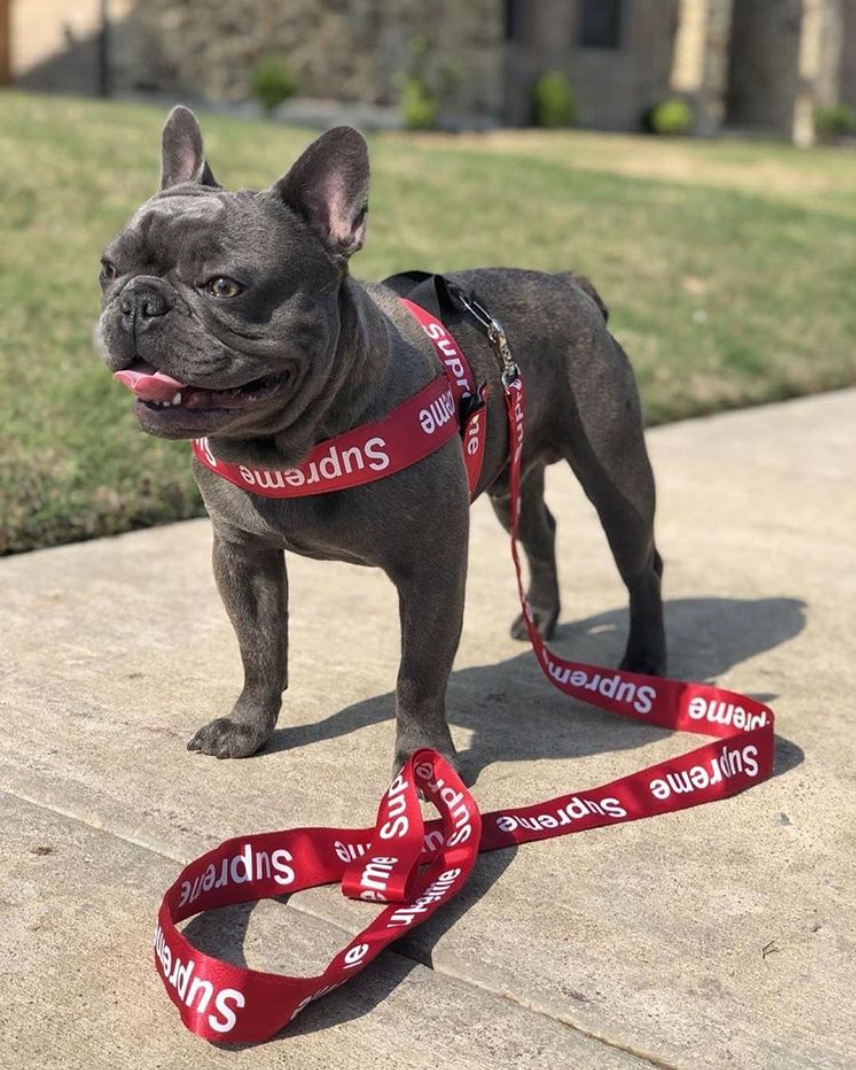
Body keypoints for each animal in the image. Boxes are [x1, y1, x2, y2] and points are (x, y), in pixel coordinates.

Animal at [96, 108, 663, 774]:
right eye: (108, 269)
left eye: (223, 287)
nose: (138, 301)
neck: (296, 446)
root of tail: (570, 286)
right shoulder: (243, 554)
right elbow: (260, 650)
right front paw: (248, 727)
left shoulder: (432, 569)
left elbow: (417, 675)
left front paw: (423, 762)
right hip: (511, 476)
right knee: (540, 530)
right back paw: (541, 620)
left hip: (617, 477)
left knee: (641, 564)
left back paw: (645, 665)